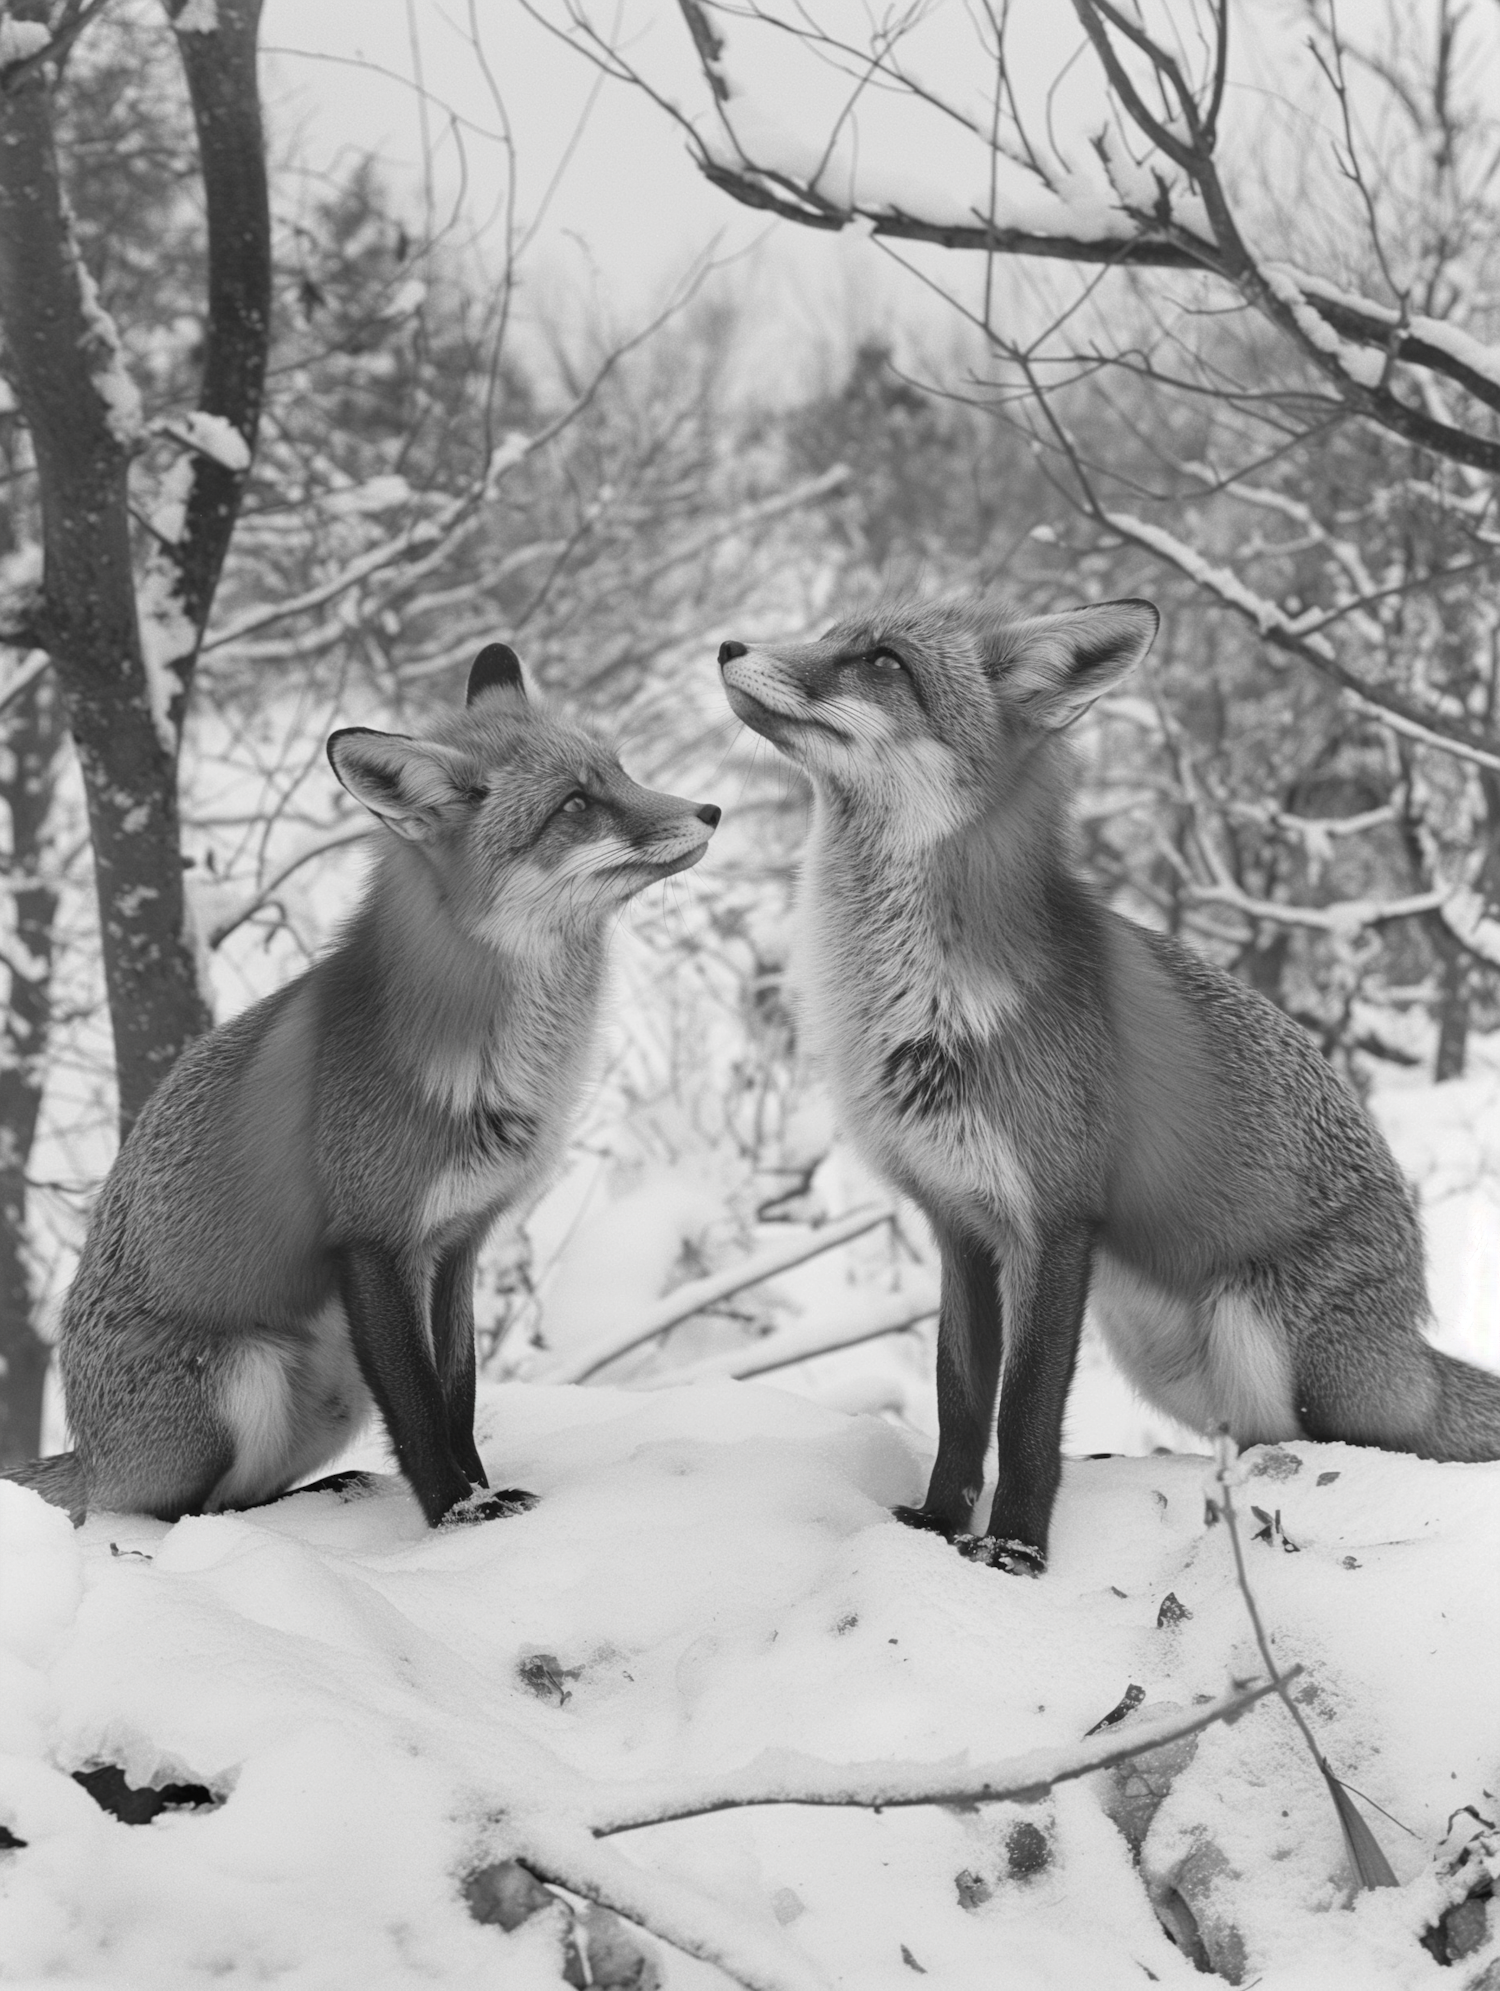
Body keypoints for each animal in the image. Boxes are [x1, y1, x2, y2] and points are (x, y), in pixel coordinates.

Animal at [5, 645, 721, 1529]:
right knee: (171, 1514)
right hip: (243, 1376)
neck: (499, 1051)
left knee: (249, 1495)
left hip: (334, 1381)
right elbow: (416, 1406)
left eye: (620, 771)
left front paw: (481, 1488)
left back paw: (329, 1487)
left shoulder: (459, 1241)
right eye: (577, 804)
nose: (712, 809)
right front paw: (456, 1513)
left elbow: (456, 1395)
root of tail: (87, 1454)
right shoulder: (372, 1239)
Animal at [713, 589, 1498, 1568]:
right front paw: (937, 1522)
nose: (727, 645)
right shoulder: (957, 1224)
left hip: (1259, 1335)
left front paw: (1016, 1549)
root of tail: (1413, 1320)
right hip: (1161, 1352)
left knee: (1336, 1445)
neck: (916, 1005)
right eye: (831, 634)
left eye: (884, 661)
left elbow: (1026, 1411)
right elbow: (959, 1400)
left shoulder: (1056, 1219)